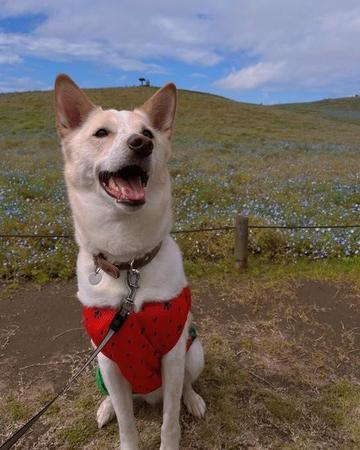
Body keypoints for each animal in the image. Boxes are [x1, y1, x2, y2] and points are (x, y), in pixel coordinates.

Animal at [53, 75, 205, 448]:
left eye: (148, 132)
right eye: (101, 133)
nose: (141, 144)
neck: (129, 265)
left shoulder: (173, 354)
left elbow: (170, 422)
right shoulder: (109, 358)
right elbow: (127, 425)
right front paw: (122, 427)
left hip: (195, 352)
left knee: (185, 387)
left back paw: (193, 400)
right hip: (99, 368)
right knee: (117, 400)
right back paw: (106, 407)